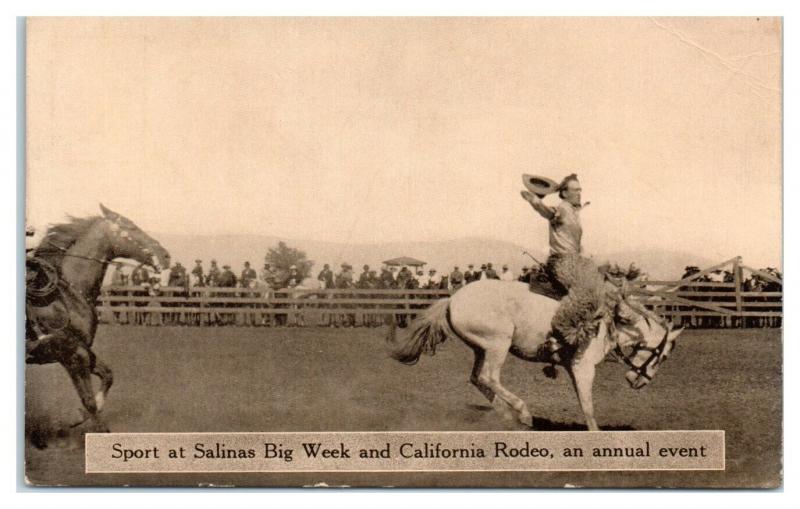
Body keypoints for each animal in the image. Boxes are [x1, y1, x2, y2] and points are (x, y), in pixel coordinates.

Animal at [27, 204, 170, 430]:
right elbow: (89, 401)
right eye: (131, 227)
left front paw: (78, 417)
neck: (64, 295)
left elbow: (107, 375)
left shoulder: (84, 352)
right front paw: (98, 427)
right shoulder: (72, 355)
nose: (165, 255)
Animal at [388, 278, 680, 428]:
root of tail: (453, 299)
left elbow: (583, 402)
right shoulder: (583, 367)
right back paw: (522, 412)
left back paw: (506, 415)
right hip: (498, 344)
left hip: (481, 348)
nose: (639, 382)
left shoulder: (572, 367)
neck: (612, 321)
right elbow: (588, 407)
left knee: (477, 378)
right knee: (489, 378)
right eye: (664, 356)